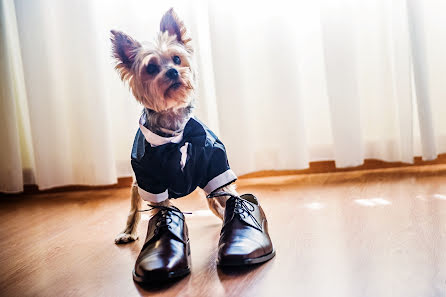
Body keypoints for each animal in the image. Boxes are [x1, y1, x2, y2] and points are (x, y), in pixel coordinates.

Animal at [110, 8, 237, 243]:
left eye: (177, 59)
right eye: (151, 68)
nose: (172, 72)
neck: (175, 132)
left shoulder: (215, 164)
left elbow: (227, 195)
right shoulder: (149, 179)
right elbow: (159, 208)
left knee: (215, 202)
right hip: (138, 184)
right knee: (134, 207)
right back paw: (128, 231)